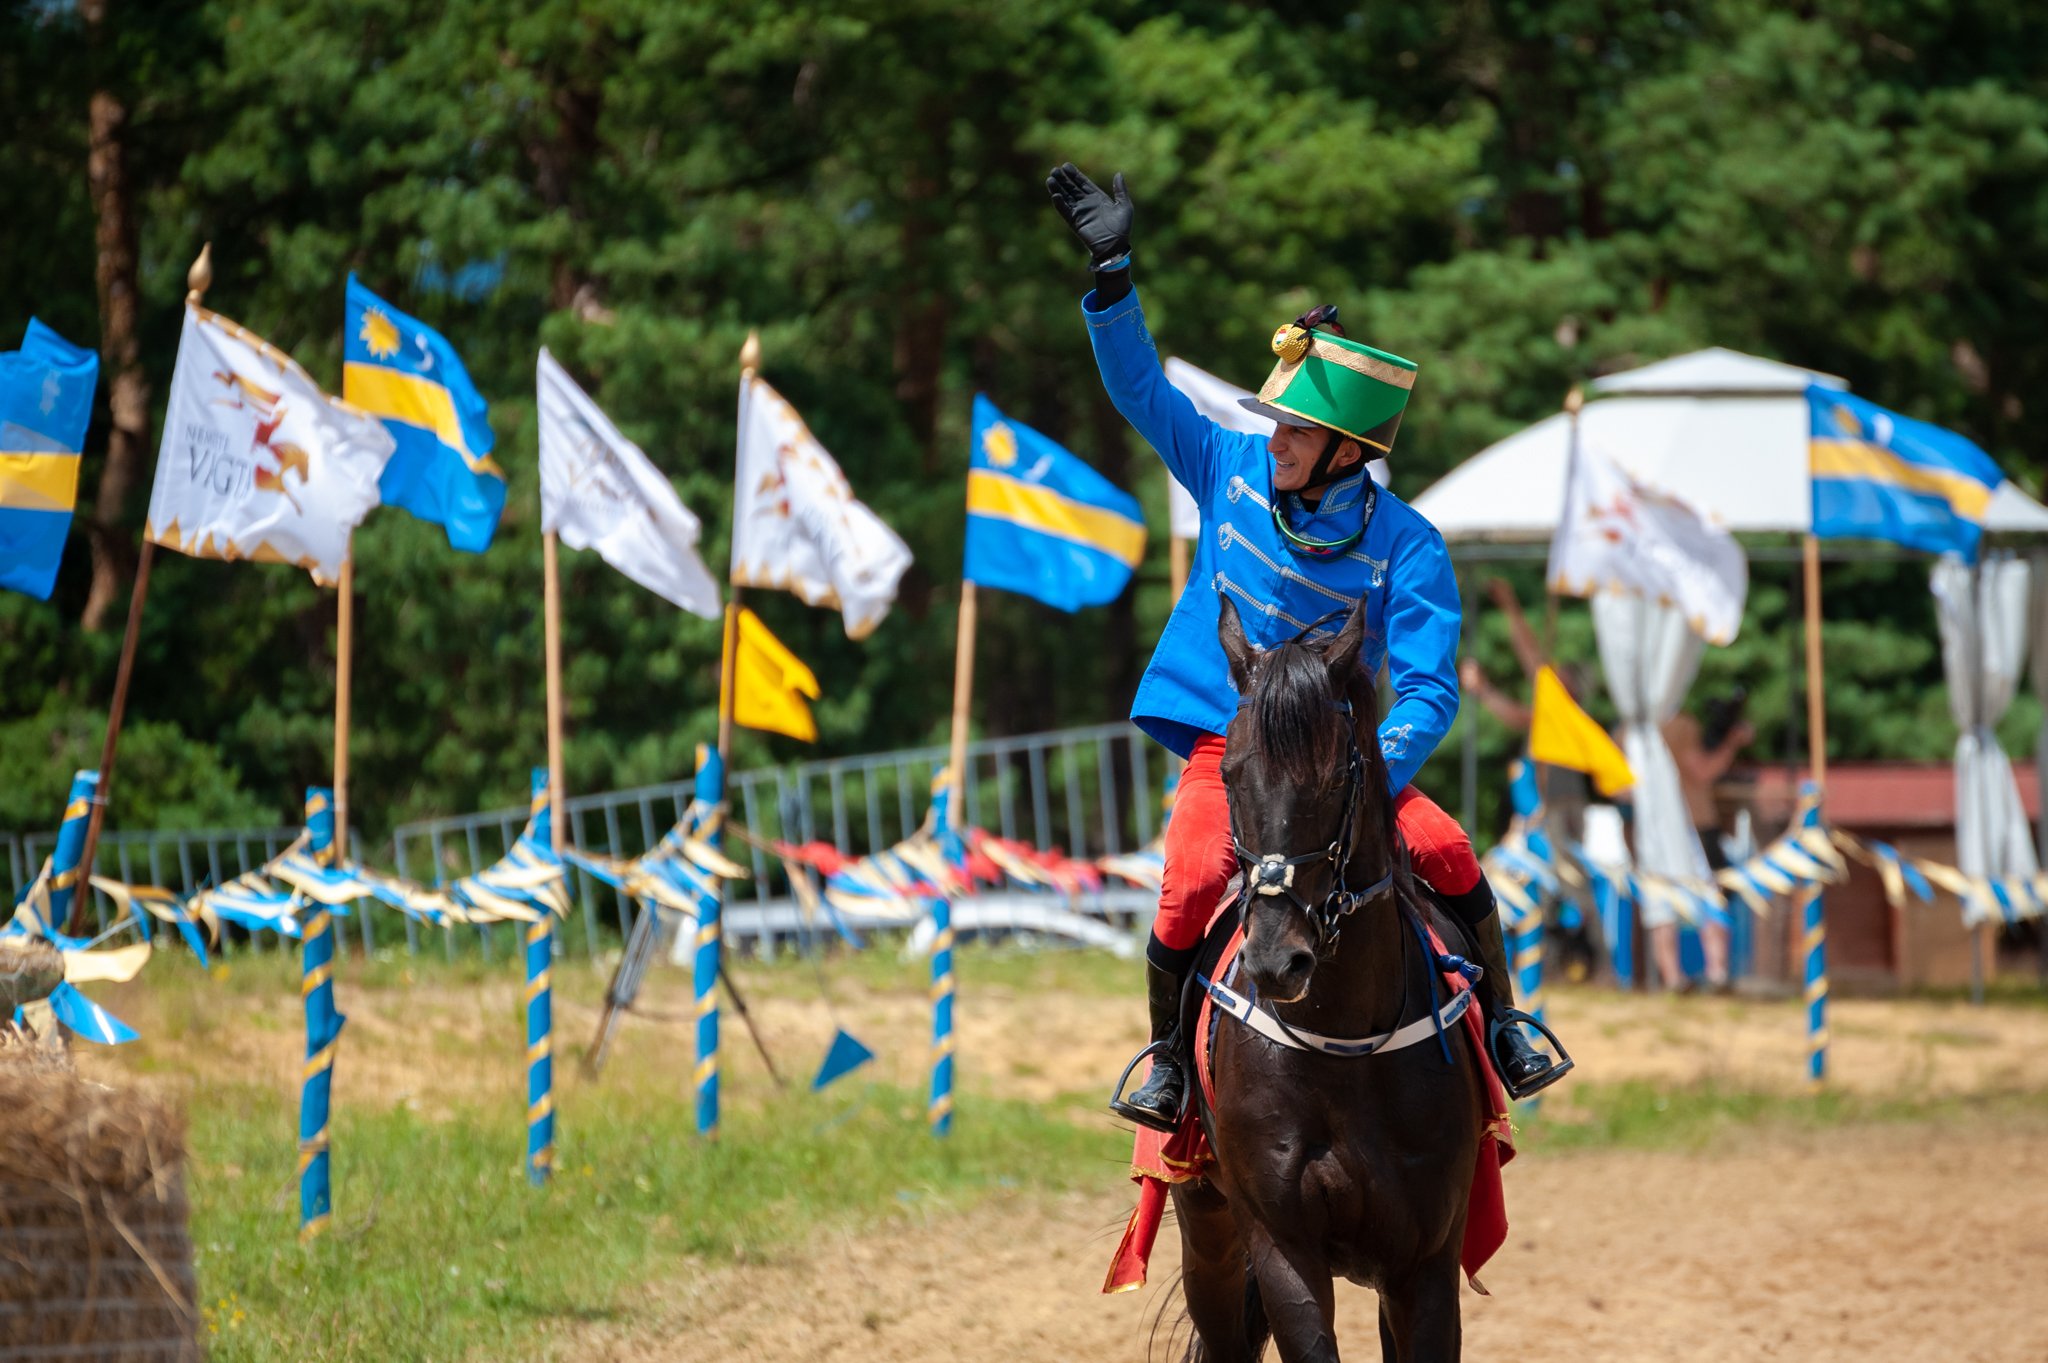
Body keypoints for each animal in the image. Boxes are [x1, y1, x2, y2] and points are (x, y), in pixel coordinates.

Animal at [1179, 597, 1499, 1358]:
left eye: (1332, 779)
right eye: (1230, 775)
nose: (1276, 959)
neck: (1346, 1041)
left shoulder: (1425, 1263)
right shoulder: (1283, 1248)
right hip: (1206, 1229)